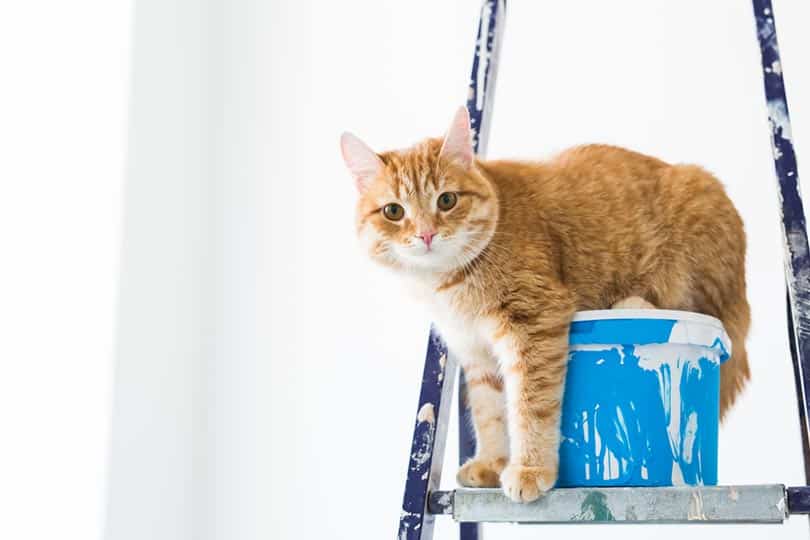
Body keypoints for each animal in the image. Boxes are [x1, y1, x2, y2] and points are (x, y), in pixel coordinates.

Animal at [340, 107, 744, 504]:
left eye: (446, 200)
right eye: (394, 211)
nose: (426, 234)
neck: (450, 285)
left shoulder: (533, 322)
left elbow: (530, 407)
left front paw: (530, 468)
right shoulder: (474, 352)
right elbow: (489, 412)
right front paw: (492, 463)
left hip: (696, 244)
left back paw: (635, 303)